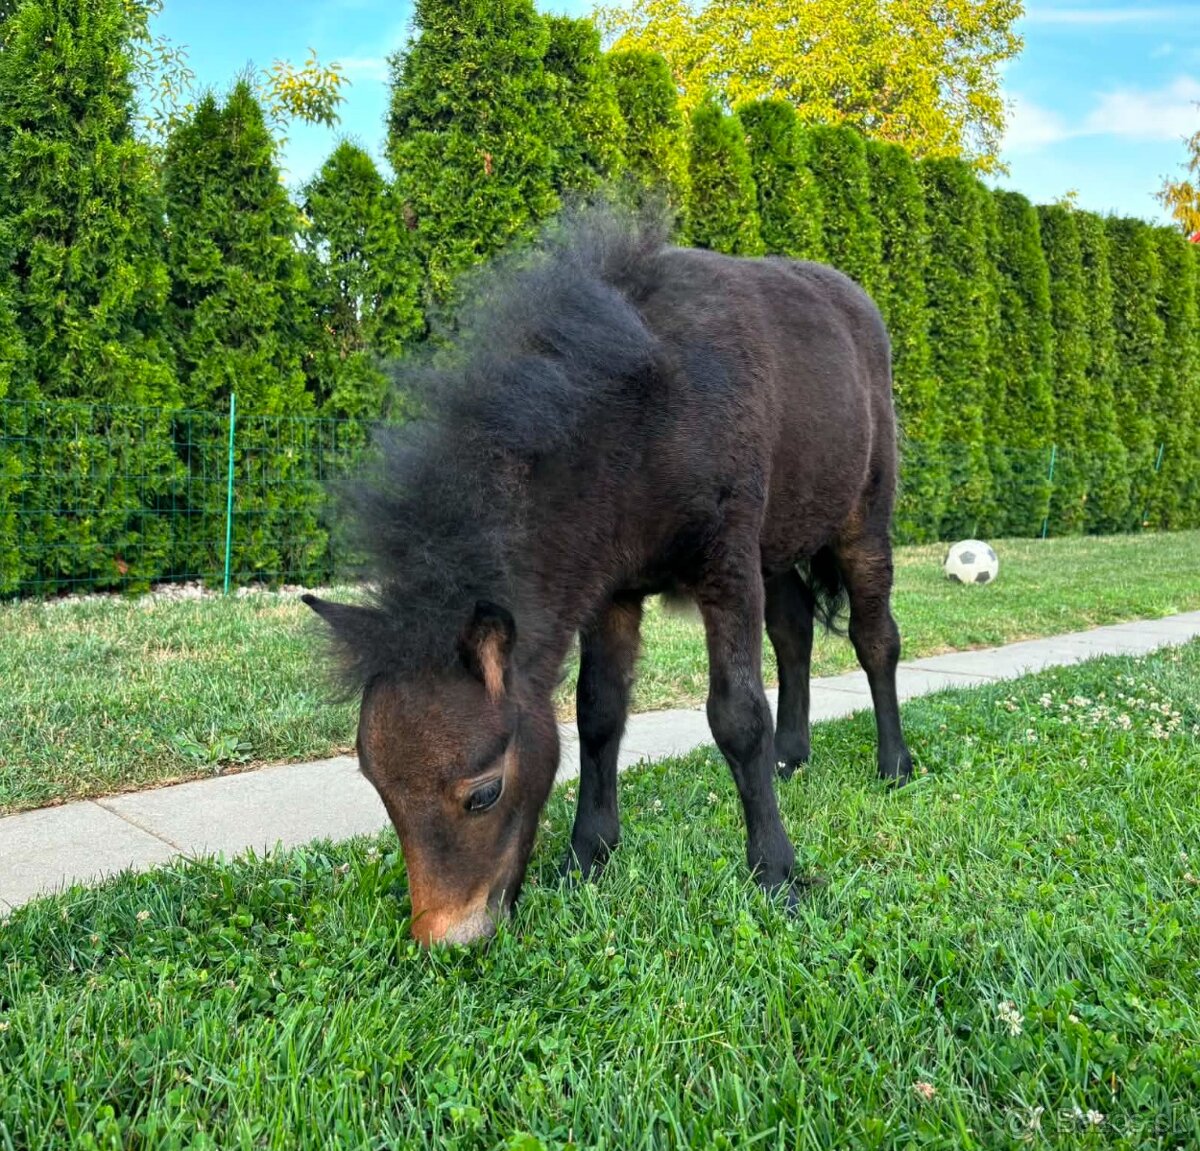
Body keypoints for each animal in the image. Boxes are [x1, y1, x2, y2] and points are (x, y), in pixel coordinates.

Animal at [304, 205, 913, 946]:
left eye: (483, 792)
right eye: (378, 786)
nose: (448, 938)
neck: (642, 422)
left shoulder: (727, 564)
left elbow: (738, 715)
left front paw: (776, 873)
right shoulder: (611, 591)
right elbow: (597, 712)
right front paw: (586, 856)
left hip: (863, 519)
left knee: (875, 637)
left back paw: (895, 764)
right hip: (779, 545)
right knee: (795, 631)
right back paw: (792, 757)